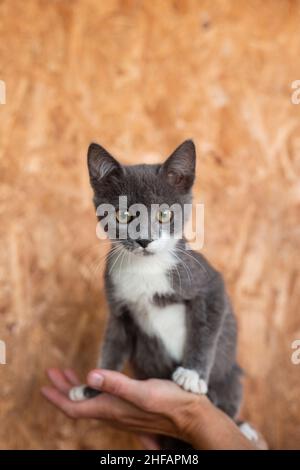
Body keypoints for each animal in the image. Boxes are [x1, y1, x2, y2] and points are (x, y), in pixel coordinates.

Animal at [69, 140, 244, 444]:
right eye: (123, 215)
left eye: (165, 214)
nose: (144, 239)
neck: (146, 269)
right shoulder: (119, 308)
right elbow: (112, 346)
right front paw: (93, 387)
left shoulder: (207, 282)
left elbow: (206, 326)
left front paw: (192, 375)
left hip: (231, 377)